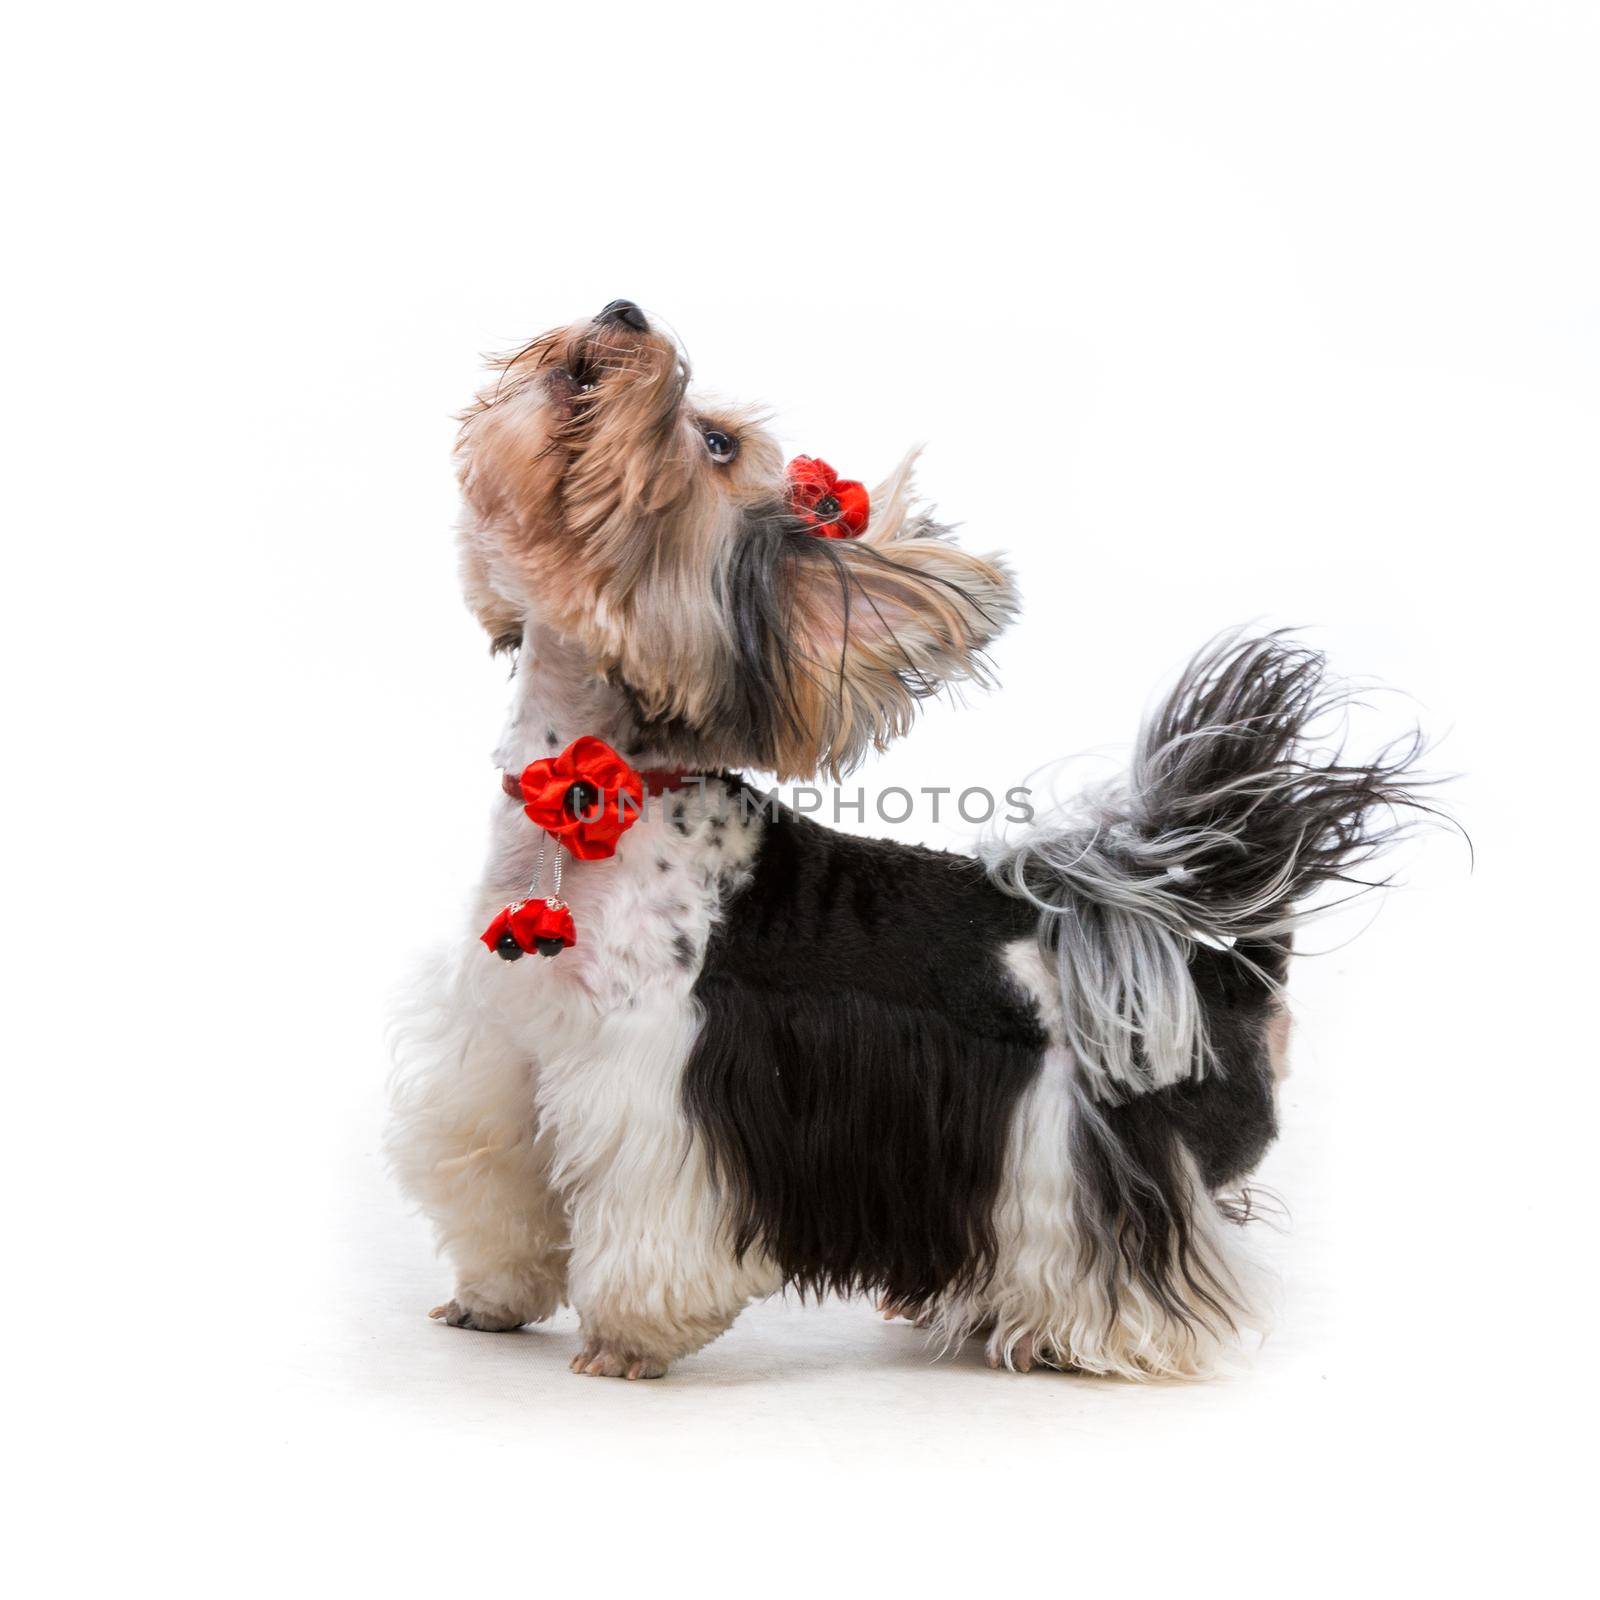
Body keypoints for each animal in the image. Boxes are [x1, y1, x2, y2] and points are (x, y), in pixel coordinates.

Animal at [384, 297, 1427, 1376]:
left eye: (714, 442)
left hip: (1088, 1147)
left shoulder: (659, 1084)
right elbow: (501, 1190)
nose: (622, 311)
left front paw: (626, 1343)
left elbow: (646, 1226)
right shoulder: (503, 1048)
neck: (596, 802)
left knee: (1144, 1259)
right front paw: (491, 1298)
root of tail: (1232, 971)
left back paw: (1087, 1337)